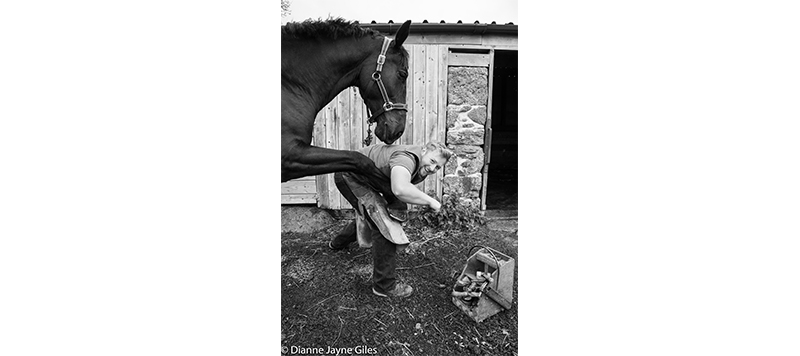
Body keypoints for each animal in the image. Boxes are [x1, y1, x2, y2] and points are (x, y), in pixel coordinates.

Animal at [280, 18, 410, 191]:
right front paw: (388, 189)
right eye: (403, 74)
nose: (399, 131)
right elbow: (361, 160)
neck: (289, 84)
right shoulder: (290, 154)